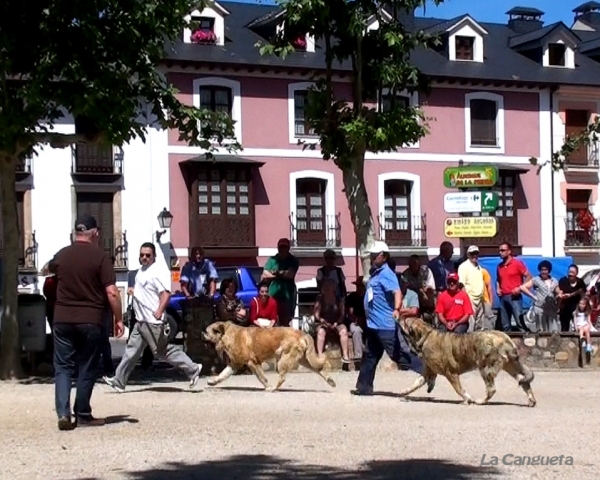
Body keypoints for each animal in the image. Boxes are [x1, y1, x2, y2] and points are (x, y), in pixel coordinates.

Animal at [204, 320, 338, 392]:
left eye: (206, 331)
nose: (201, 333)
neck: (227, 334)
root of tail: (302, 332)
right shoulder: (234, 364)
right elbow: (223, 375)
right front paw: (213, 382)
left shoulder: (253, 363)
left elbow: (262, 378)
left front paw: (268, 387)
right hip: (305, 360)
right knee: (319, 369)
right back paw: (330, 381)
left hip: (283, 360)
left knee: (282, 378)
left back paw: (274, 389)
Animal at [398, 316, 536, 406]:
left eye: (406, 321)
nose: (398, 316)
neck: (426, 335)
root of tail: (505, 337)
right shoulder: (428, 373)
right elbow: (415, 384)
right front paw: (404, 392)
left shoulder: (451, 373)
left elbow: (459, 390)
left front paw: (467, 398)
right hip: (511, 366)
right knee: (523, 381)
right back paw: (531, 400)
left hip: (485, 368)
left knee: (491, 389)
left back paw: (480, 401)